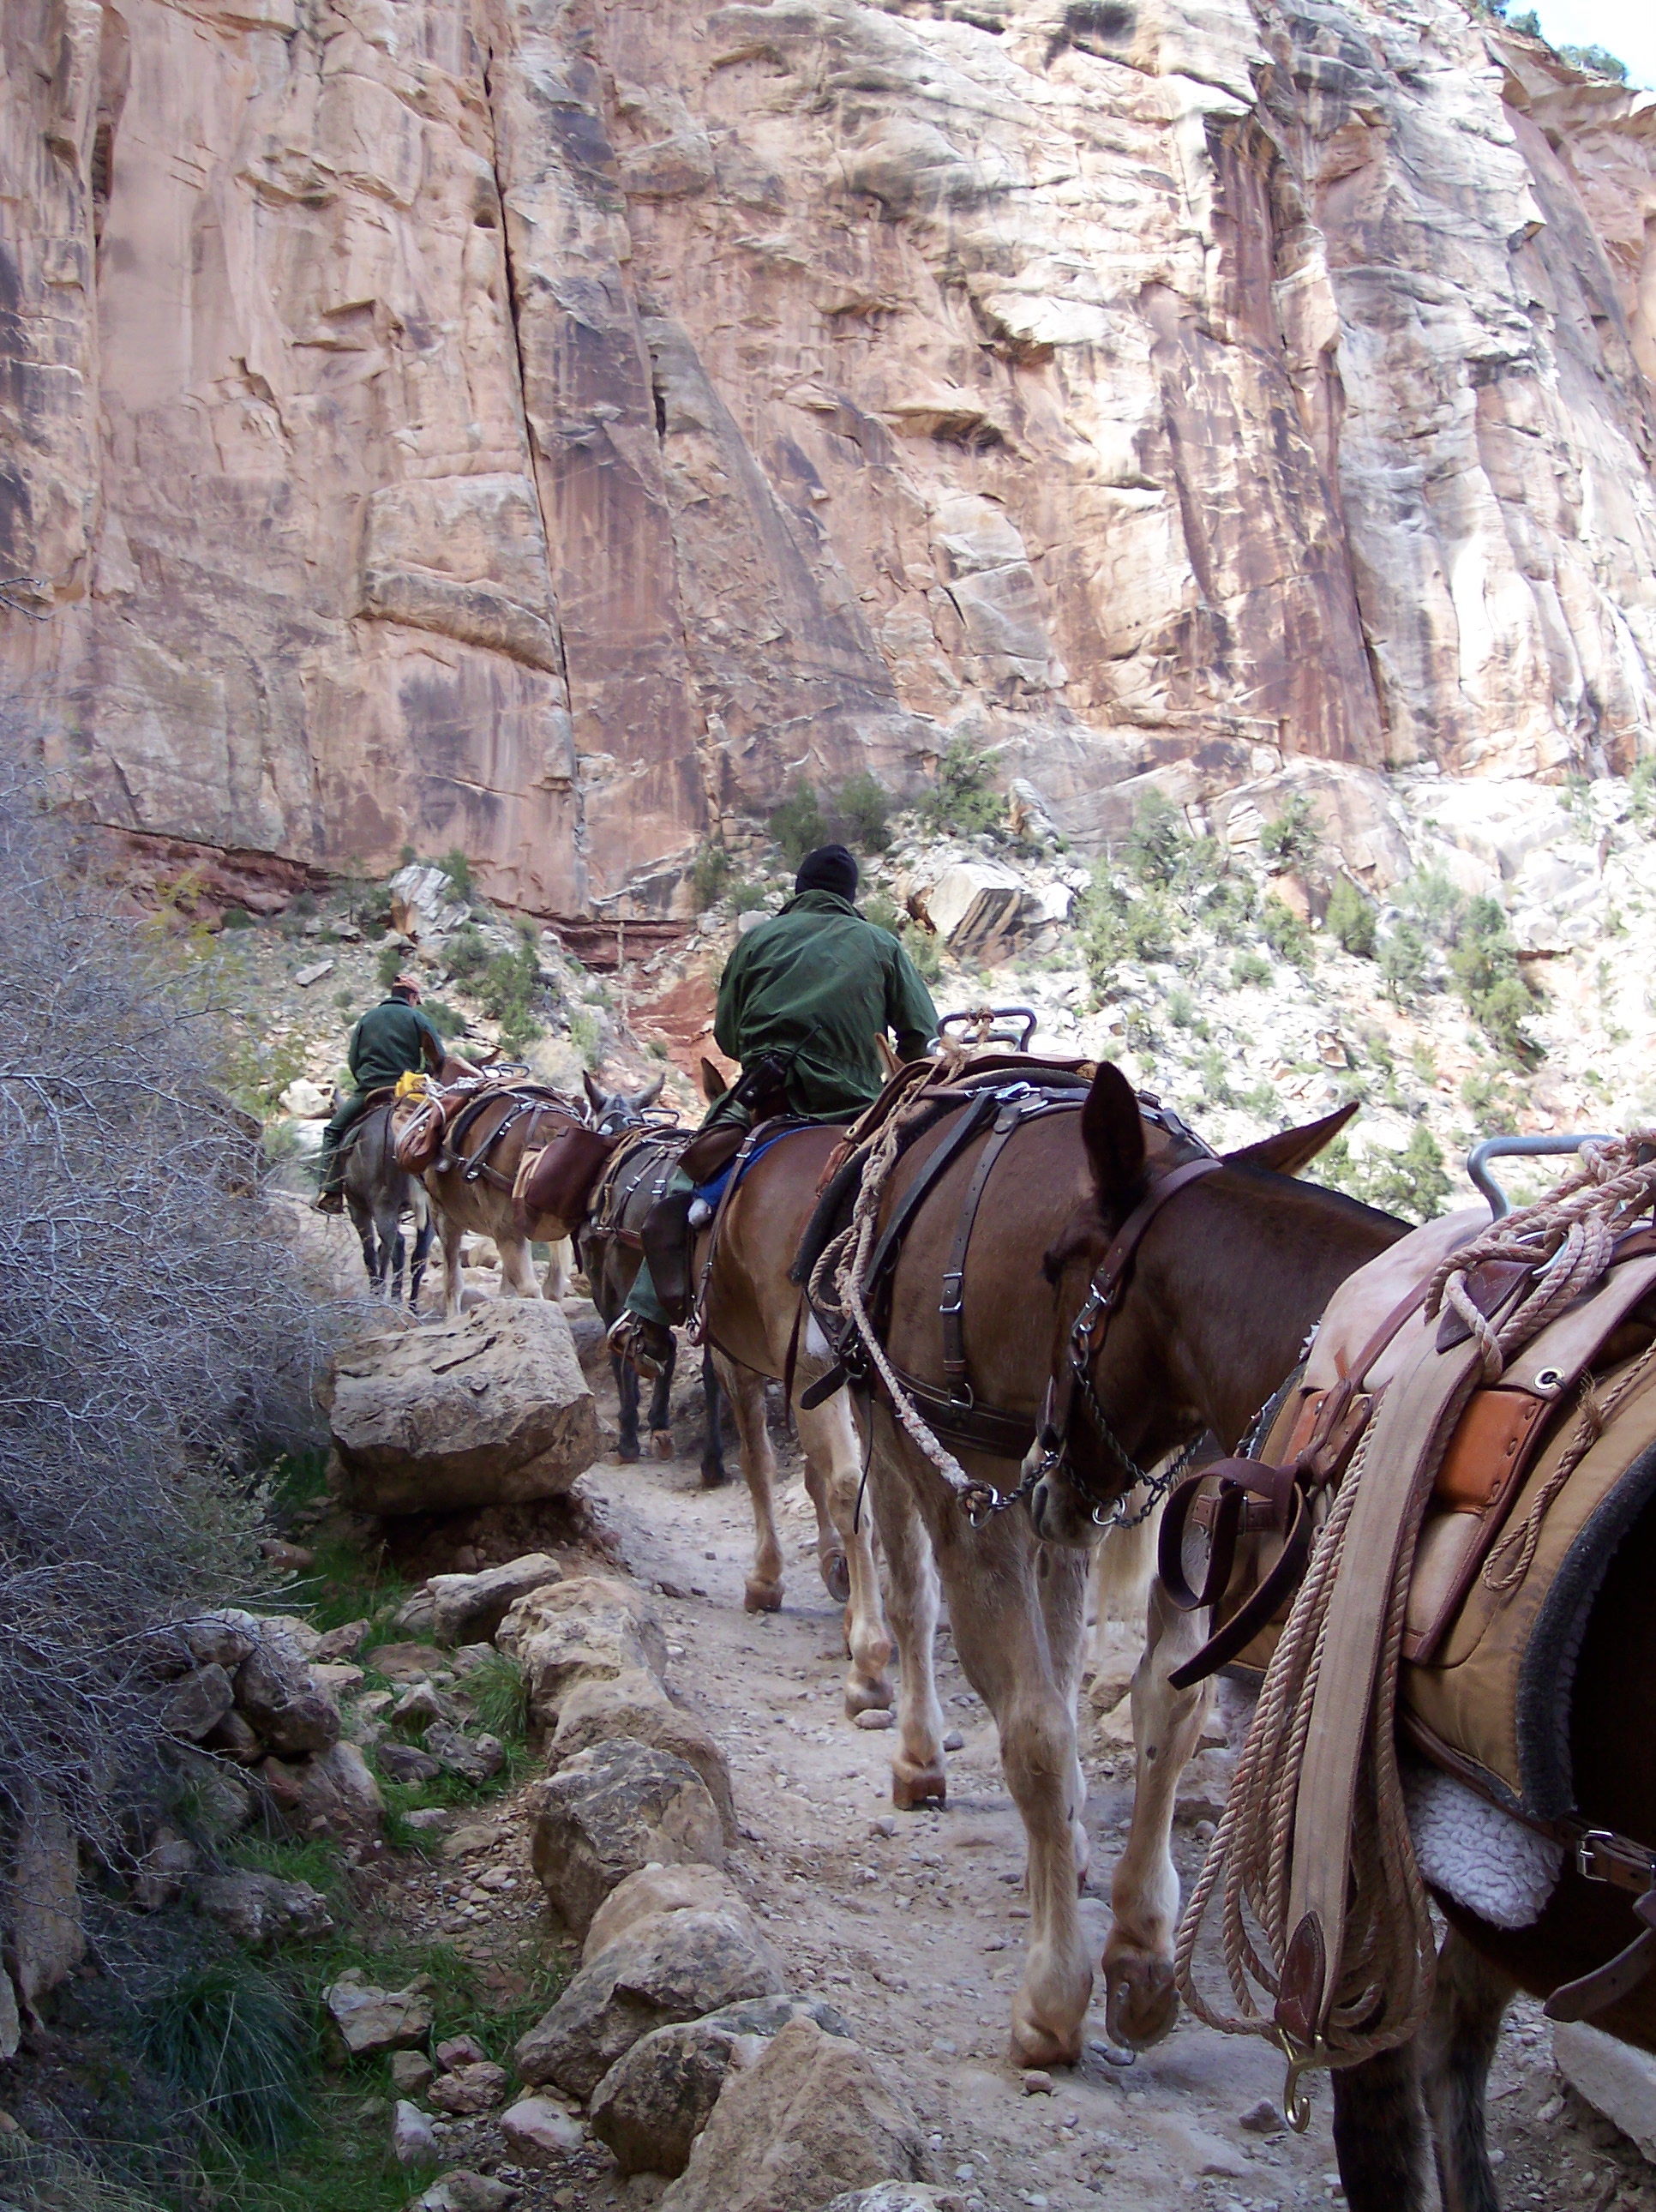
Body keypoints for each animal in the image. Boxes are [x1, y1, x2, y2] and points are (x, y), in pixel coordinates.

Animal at [339, 1096, 433, 1305]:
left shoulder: (357, 1207)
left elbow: (370, 1250)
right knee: (419, 1254)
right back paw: (411, 1305)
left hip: (383, 1203)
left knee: (388, 1246)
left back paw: (380, 1296)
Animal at [577, 1070, 728, 1483]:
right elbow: (661, 1348)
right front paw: (658, 1422)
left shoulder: (607, 1289)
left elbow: (621, 1352)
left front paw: (630, 1433)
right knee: (715, 1372)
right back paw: (713, 1461)